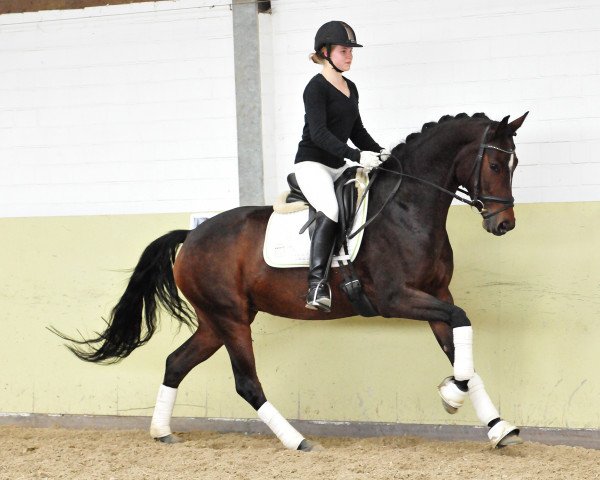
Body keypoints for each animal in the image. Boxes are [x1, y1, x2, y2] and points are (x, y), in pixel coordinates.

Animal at [52, 111, 528, 450]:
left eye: (515, 163)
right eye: (493, 162)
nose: (504, 224)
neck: (406, 209)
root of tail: (191, 237)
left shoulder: (434, 294)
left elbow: (461, 345)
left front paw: (494, 424)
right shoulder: (398, 298)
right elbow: (461, 321)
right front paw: (452, 394)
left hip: (217, 321)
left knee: (176, 363)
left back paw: (161, 432)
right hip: (231, 320)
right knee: (246, 382)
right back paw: (297, 441)